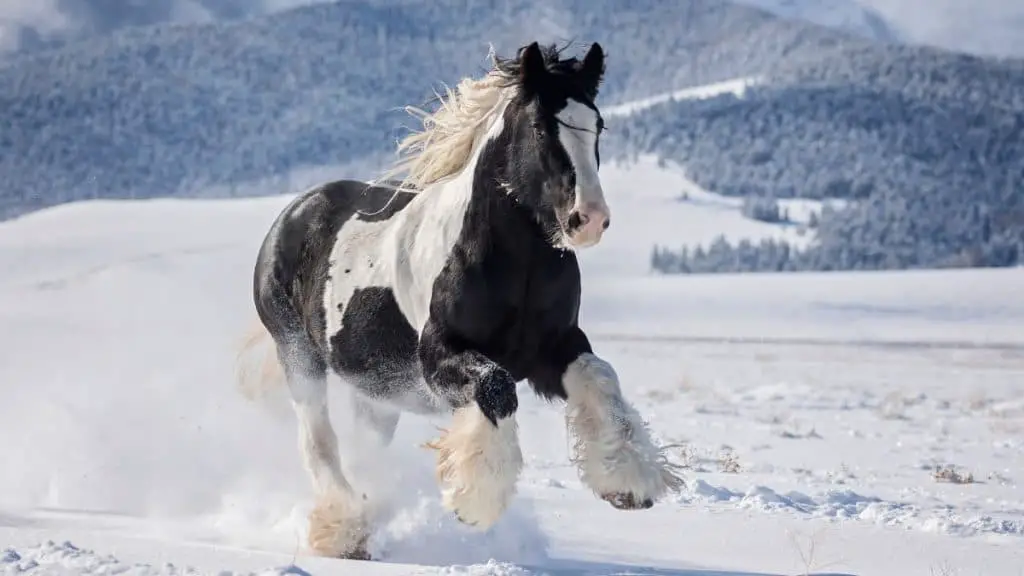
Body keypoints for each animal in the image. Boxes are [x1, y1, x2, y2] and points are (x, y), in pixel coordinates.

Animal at [238, 41, 684, 561]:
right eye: (540, 127)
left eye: (598, 124)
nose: (588, 219)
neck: (517, 263)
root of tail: (294, 213)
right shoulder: (440, 357)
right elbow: (495, 387)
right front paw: (477, 500)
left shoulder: (555, 349)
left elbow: (601, 376)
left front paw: (628, 483)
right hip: (299, 356)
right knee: (319, 442)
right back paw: (343, 531)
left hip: (377, 392)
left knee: (365, 453)